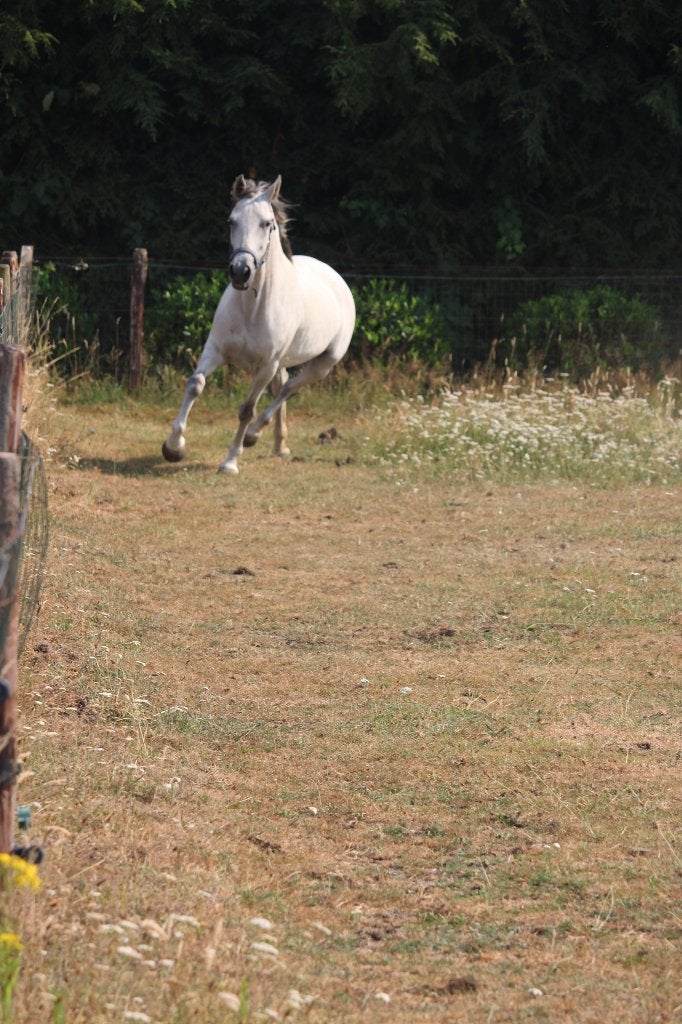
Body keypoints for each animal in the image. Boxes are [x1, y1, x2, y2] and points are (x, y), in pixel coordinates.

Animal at [161, 174, 356, 475]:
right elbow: (195, 384)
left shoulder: (265, 366)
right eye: (231, 221)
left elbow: (246, 409)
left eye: (267, 223)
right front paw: (173, 447)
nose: (241, 271)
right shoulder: (215, 349)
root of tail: (335, 277)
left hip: (323, 364)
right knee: (284, 385)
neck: (252, 308)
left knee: (289, 389)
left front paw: (230, 462)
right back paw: (278, 445)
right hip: (284, 363)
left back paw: (254, 435)